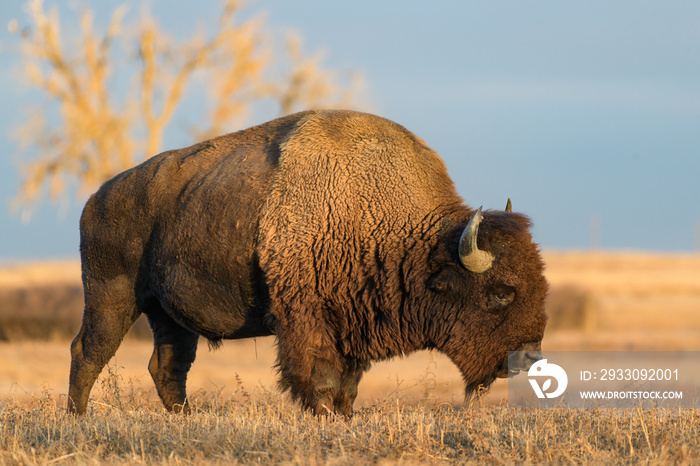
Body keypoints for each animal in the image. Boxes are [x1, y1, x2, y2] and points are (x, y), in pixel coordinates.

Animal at [68, 110, 548, 416]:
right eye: (501, 292)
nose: (528, 357)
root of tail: (96, 198)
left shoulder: (354, 324)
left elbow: (348, 385)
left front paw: (345, 417)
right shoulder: (307, 320)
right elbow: (320, 379)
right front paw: (324, 416)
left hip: (168, 315)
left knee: (168, 366)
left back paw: (187, 419)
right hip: (112, 298)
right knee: (88, 352)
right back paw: (79, 419)